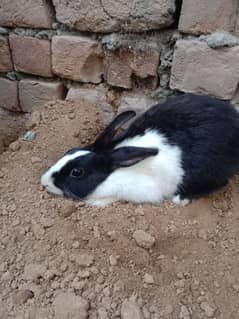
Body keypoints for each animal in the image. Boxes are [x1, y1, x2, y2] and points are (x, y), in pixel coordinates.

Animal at [40, 92, 239, 209]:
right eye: (69, 151)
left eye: (77, 172)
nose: (44, 182)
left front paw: (96, 202)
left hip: (208, 170)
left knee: (219, 183)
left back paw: (181, 199)